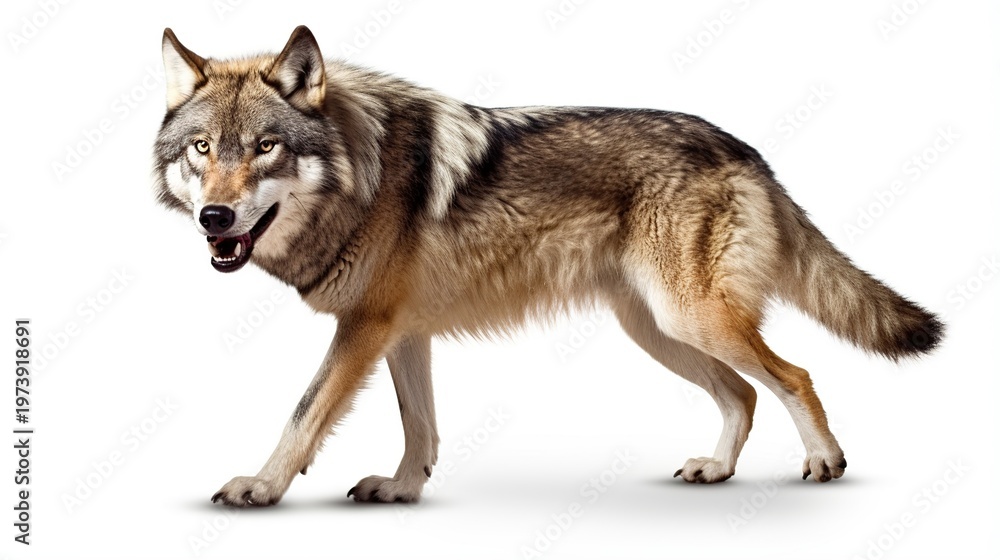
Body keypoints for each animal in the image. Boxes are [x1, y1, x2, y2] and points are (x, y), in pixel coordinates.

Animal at [153, 26, 942, 506]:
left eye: (265, 148)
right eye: (202, 149)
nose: (214, 218)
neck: (361, 170)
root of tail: (746, 148)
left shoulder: (365, 329)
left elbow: (303, 414)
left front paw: (261, 487)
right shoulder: (399, 332)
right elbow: (420, 428)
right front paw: (404, 490)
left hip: (692, 320)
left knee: (794, 375)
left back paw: (824, 463)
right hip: (656, 331)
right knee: (744, 394)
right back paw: (715, 469)